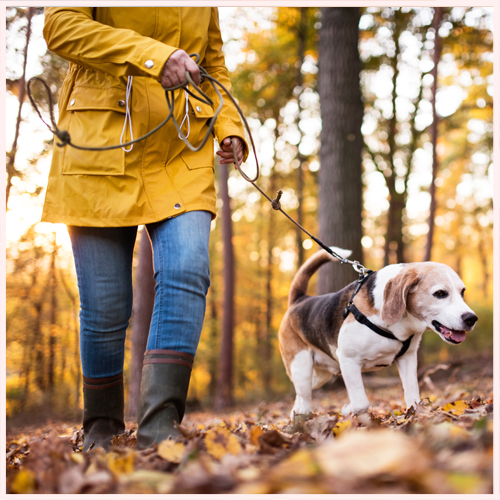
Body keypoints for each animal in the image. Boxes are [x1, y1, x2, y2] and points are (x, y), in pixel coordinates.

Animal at [280, 248, 478, 420]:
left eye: (462, 292)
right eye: (440, 293)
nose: (471, 318)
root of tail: (299, 300)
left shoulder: (408, 358)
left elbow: (413, 396)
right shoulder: (348, 360)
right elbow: (361, 403)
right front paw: (347, 410)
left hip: (320, 376)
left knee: (300, 395)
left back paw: (296, 417)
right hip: (301, 367)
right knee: (305, 397)